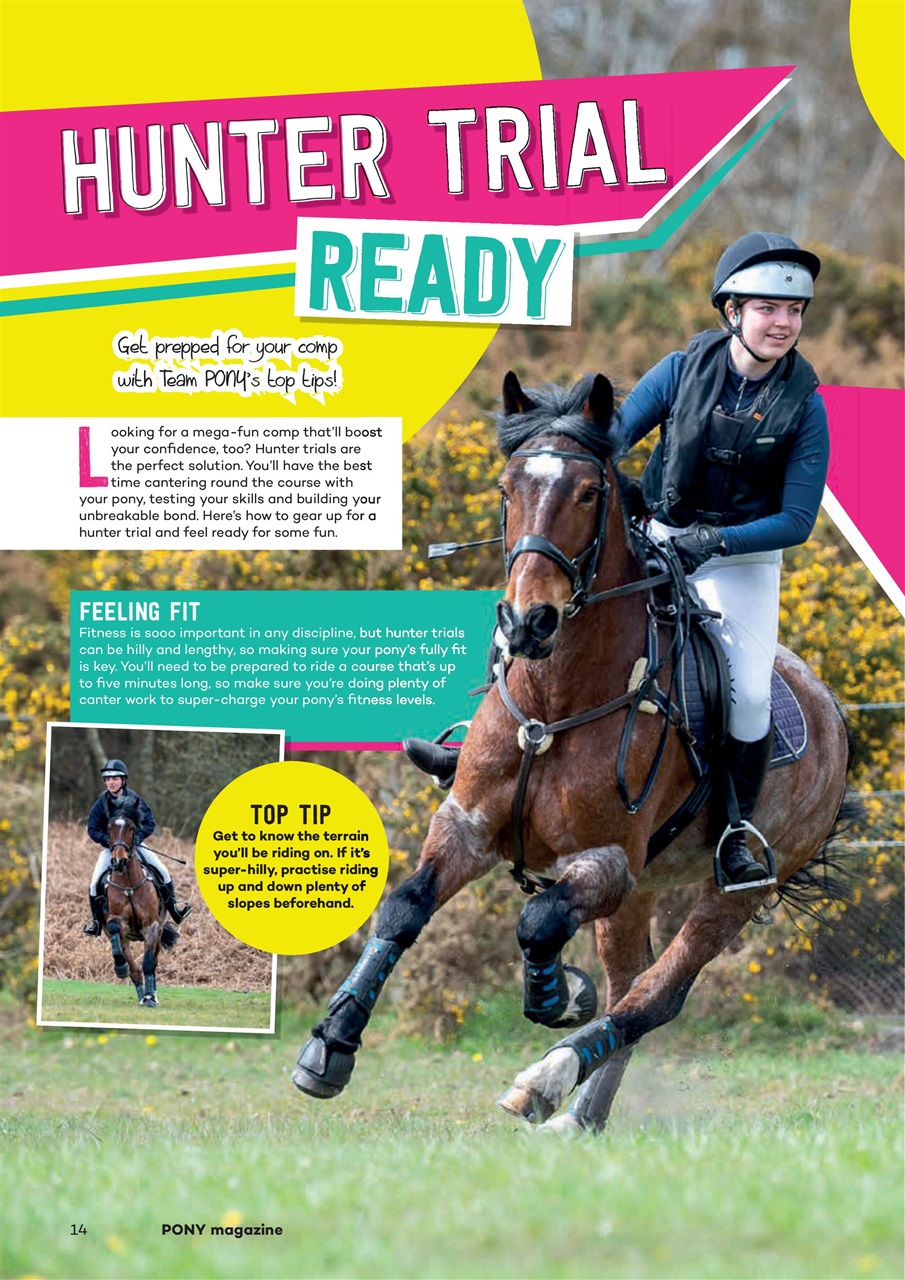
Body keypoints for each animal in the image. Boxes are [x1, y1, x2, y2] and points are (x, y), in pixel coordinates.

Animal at [102, 810, 178, 1007]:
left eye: (132, 828)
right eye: (109, 828)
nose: (118, 860)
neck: (129, 884)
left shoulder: (151, 927)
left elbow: (148, 963)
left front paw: (151, 998)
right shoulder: (115, 922)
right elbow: (114, 927)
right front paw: (120, 967)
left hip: (158, 932)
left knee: (153, 962)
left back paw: (151, 996)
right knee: (133, 969)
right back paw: (139, 991)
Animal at [293, 371, 852, 1133]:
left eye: (589, 493)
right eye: (506, 489)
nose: (528, 622)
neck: (555, 701)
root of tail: (830, 710)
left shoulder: (605, 860)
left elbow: (538, 921)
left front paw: (557, 996)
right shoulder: (467, 827)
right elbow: (405, 908)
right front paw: (330, 1045)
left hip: (735, 888)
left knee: (655, 995)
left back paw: (548, 1080)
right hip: (639, 893)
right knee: (628, 984)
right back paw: (579, 1115)